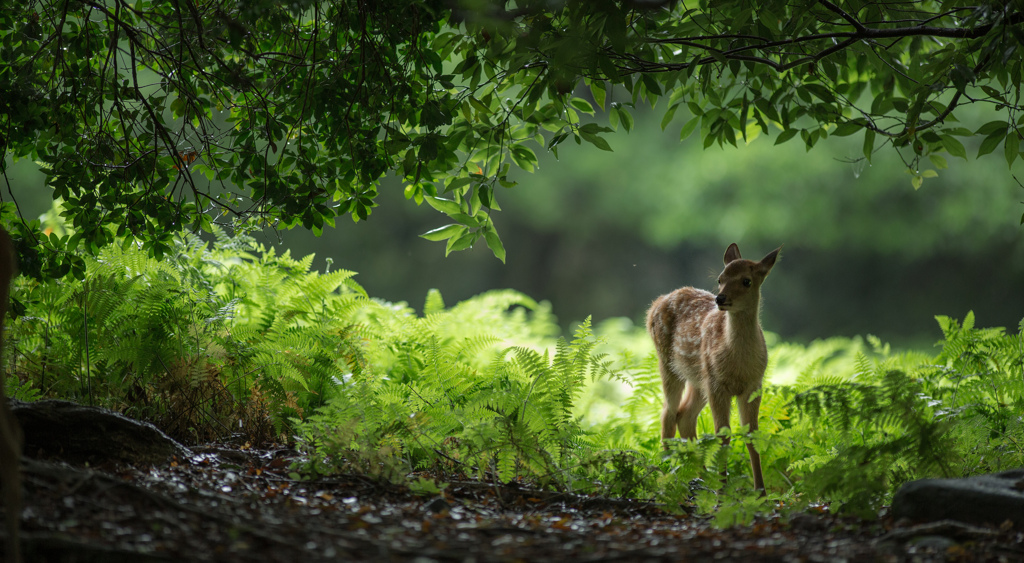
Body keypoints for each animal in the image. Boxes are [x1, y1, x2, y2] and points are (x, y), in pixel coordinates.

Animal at [647, 244, 782, 491]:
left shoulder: (753, 386)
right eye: (720, 279)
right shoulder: (718, 386)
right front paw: (722, 490)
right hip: (670, 364)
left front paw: (760, 491)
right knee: (668, 413)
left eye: (746, 281)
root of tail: (656, 303)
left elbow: (751, 435)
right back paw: (669, 471)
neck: (738, 362)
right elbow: (722, 436)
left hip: (699, 379)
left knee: (684, 416)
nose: (720, 298)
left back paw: (701, 475)